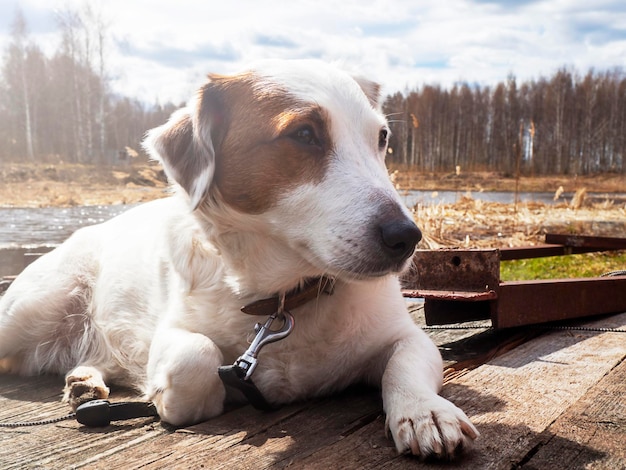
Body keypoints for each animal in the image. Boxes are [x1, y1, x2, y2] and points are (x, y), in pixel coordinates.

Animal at [0, 59, 476, 458]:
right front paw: (168, 398)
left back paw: (84, 384)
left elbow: (406, 364)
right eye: (304, 134)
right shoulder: (175, 333)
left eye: (382, 138)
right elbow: (196, 358)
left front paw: (424, 411)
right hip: (29, 311)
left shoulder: (404, 336)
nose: (407, 237)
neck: (282, 301)